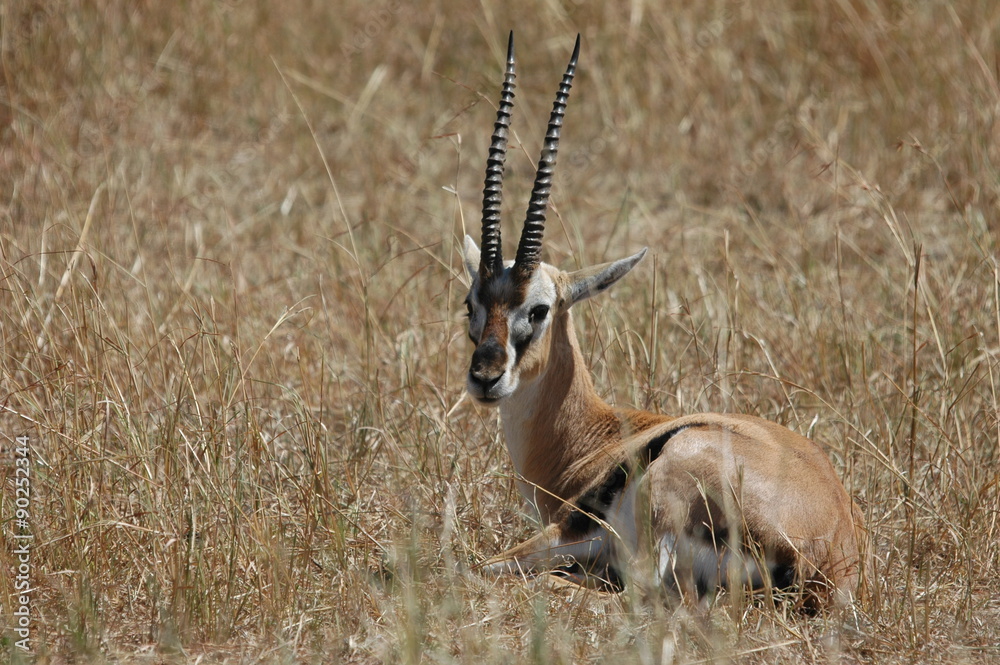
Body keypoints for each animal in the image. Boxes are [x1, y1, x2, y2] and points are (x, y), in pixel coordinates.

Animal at [461, 33, 863, 609]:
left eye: (537, 310)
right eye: (469, 304)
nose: (486, 376)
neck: (598, 436)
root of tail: (829, 563)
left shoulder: (572, 528)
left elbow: (478, 565)